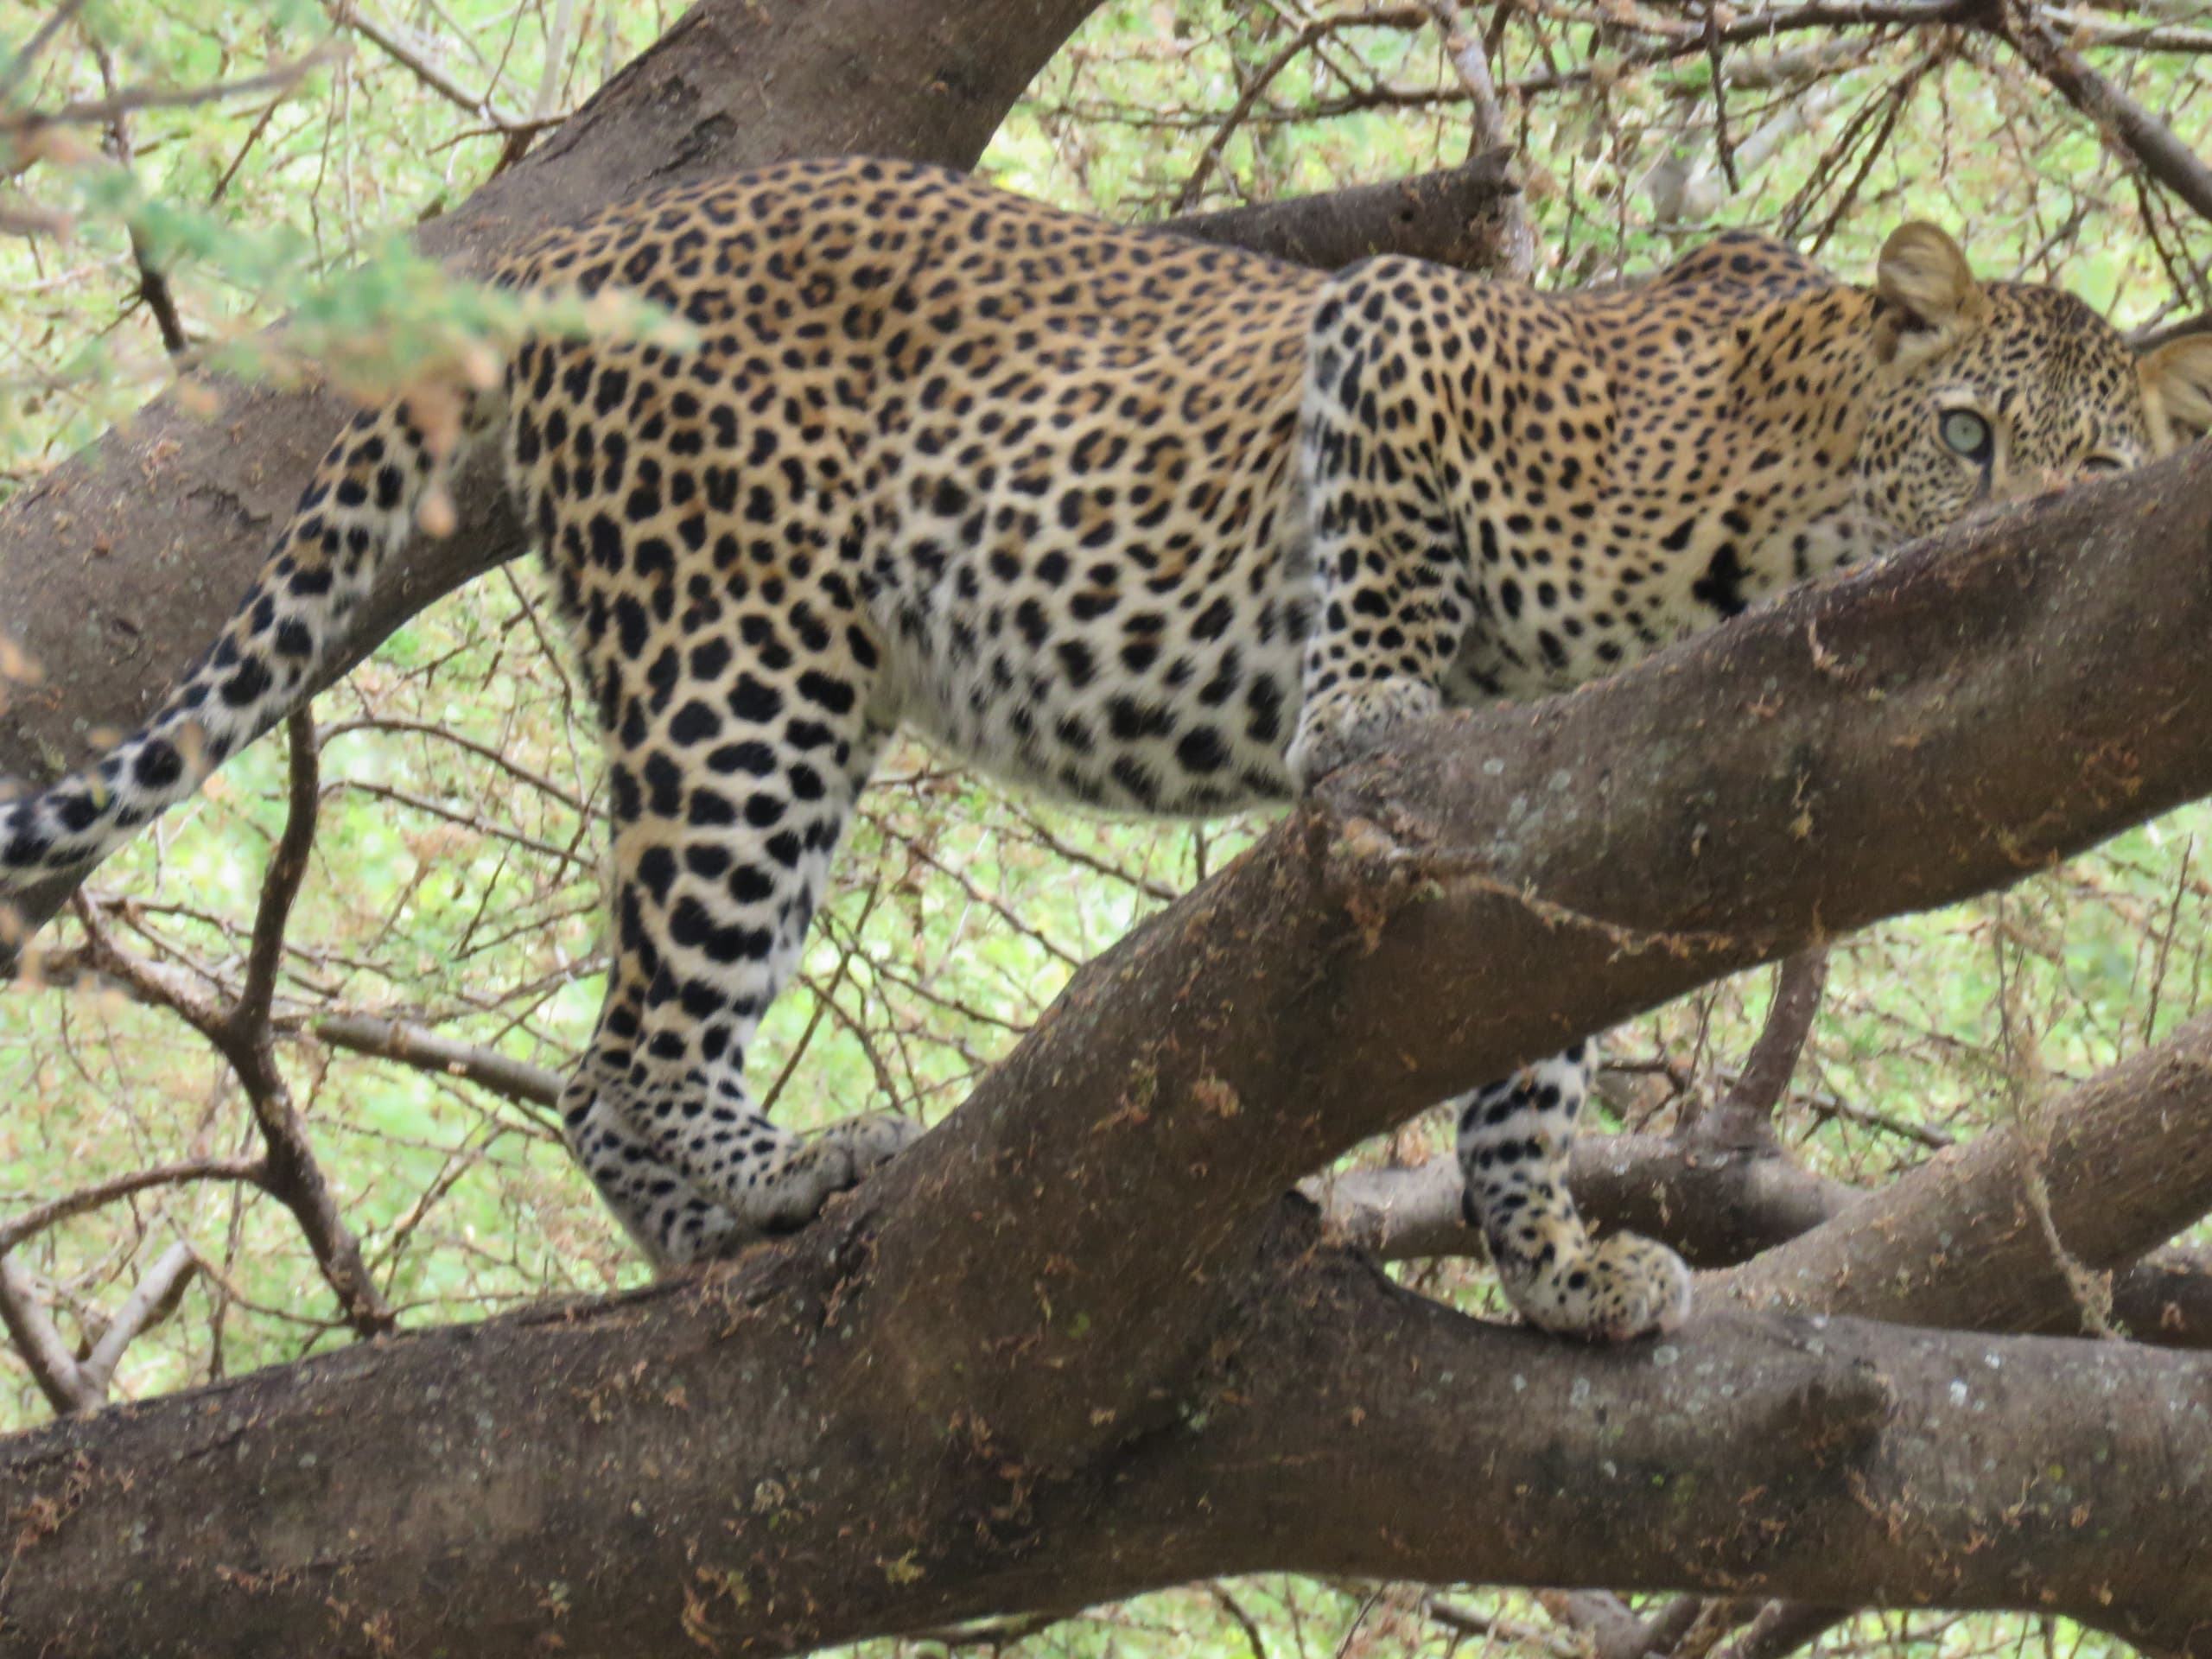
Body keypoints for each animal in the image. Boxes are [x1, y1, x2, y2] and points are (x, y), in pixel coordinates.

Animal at [6, 156, 2210, 1342]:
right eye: (1966, 439)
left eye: (2103, 471)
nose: (2026, 527)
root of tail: (632, 224)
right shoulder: (1395, 331)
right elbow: (1373, 551)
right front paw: (1361, 707)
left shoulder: (1583, 807)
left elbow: (1522, 1053)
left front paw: (1551, 1265)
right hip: (739, 662)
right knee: (621, 1052)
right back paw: (768, 1188)